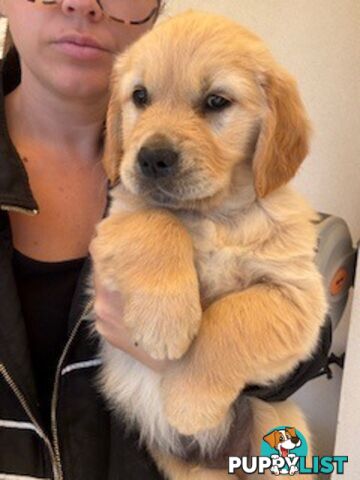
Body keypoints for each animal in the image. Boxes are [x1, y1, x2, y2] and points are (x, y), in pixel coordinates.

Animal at [90, 8, 326, 480]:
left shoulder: (299, 296)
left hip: (279, 423)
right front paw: (164, 322)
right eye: (139, 96)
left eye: (216, 102)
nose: (152, 158)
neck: (212, 215)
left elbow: (231, 320)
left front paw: (191, 403)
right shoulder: (115, 221)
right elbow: (155, 222)